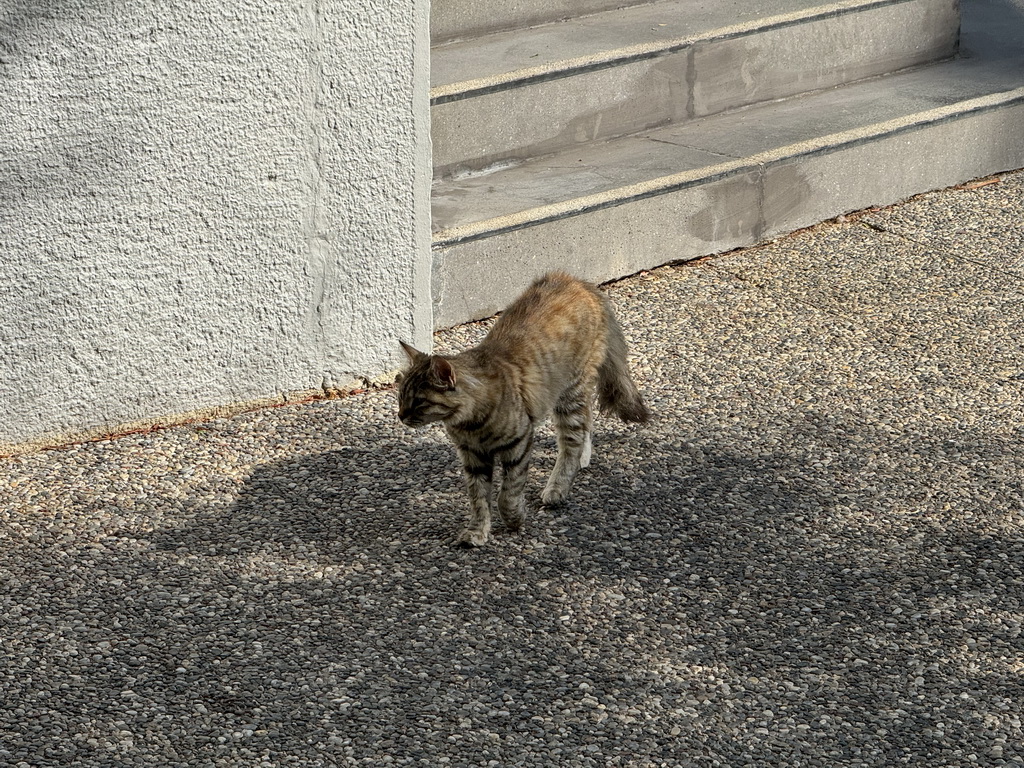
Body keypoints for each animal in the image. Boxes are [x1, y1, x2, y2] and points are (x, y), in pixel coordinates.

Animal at [393, 270, 647, 548]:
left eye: (419, 401)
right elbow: (479, 499)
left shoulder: (519, 443)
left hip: (571, 393)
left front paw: (514, 519)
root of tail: (575, 280)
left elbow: (508, 492)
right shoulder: (473, 457)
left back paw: (557, 488)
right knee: (585, 427)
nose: (401, 416)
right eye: (401, 396)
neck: (470, 422)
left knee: (572, 442)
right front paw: (477, 531)